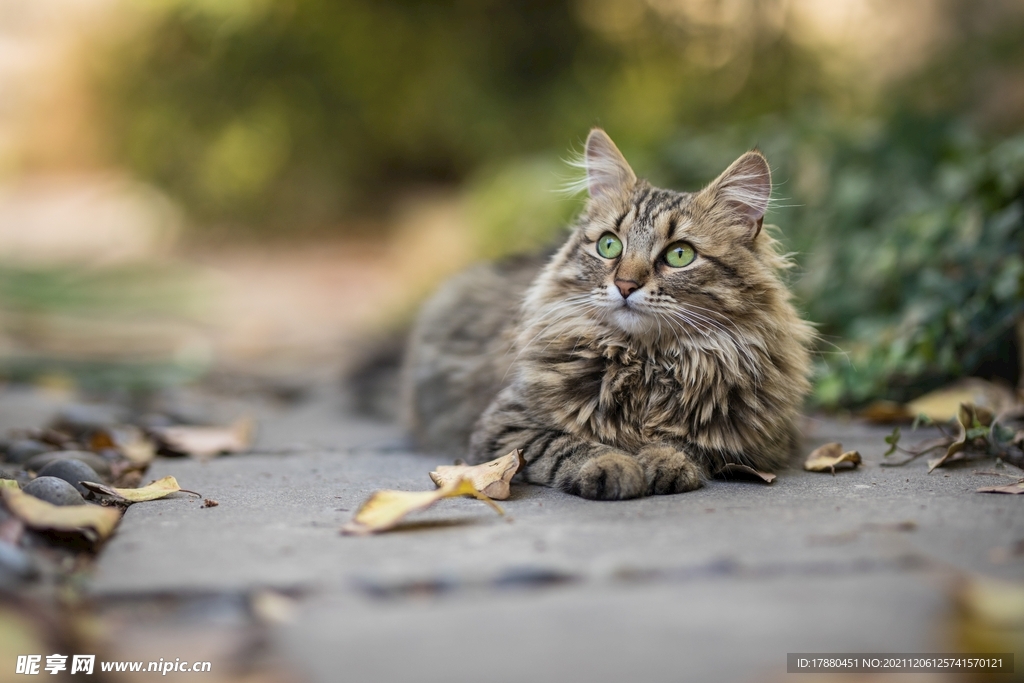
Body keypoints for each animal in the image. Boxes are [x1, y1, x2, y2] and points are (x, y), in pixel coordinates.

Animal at [397, 129, 806, 501]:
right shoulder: (504, 428)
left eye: (680, 255)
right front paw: (612, 466)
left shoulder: (752, 441)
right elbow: (566, 444)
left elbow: (684, 443)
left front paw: (664, 462)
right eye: (609, 246)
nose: (625, 285)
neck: (647, 362)